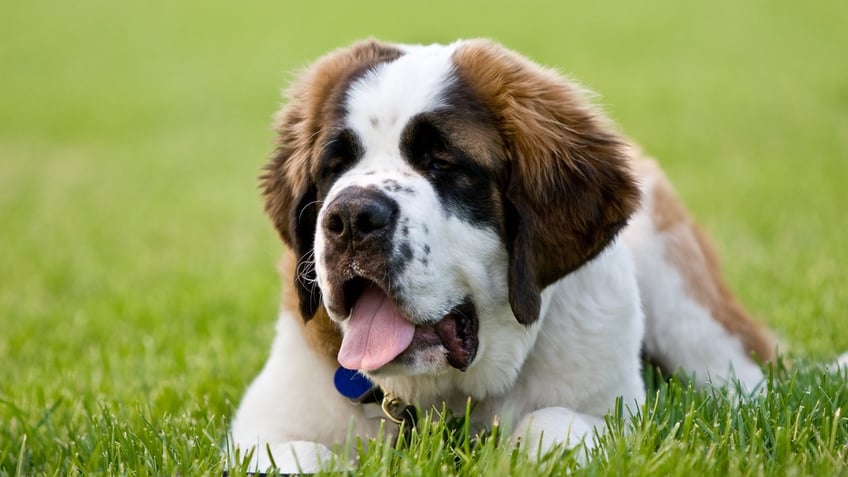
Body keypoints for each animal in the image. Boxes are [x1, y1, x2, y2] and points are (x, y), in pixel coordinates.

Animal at [227, 39, 780, 470]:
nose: (350, 217)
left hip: (684, 303)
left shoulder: (615, 413)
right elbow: (301, 454)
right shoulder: (263, 425)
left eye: (441, 161)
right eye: (333, 167)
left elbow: (547, 425)